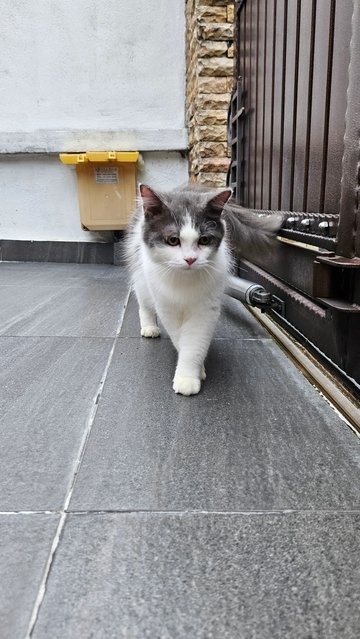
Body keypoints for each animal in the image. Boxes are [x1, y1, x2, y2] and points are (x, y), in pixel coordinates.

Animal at [125, 182, 282, 398]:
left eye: (204, 240)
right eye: (173, 240)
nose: (190, 259)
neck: (185, 281)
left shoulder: (206, 309)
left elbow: (194, 342)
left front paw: (190, 375)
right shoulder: (167, 306)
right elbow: (179, 337)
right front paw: (191, 373)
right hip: (141, 277)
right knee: (144, 303)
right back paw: (149, 327)